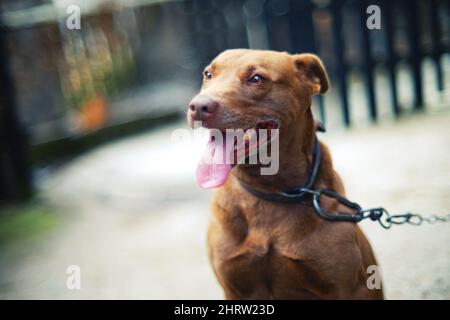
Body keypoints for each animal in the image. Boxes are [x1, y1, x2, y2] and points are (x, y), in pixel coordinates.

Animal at [186, 48, 384, 298]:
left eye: (257, 79)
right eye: (208, 74)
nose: (198, 106)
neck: (270, 189)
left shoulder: (346, 287)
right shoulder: (235, 288)